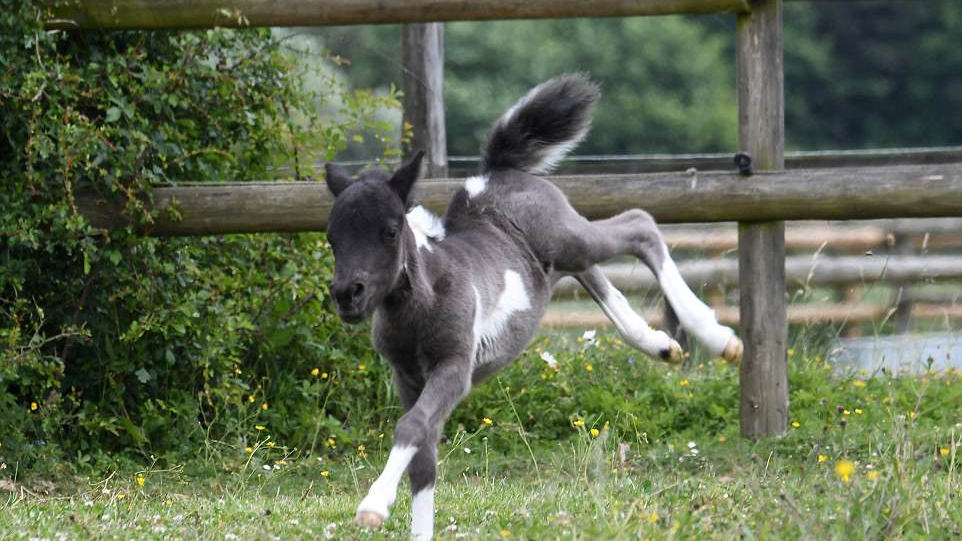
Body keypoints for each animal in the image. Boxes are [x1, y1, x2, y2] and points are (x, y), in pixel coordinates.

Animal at [324, 73, 742, 540]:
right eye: (332, 237)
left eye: (390, 230)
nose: (347, 295)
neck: (422, 300)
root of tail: (496, 171)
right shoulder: (407, 377)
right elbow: (423, 458)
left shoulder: (454, 367)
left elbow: (412, 427)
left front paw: (373, 505)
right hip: (559, 263)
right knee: (601, 276)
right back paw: (661, 345)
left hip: (569, 238)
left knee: (641, 225)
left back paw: (716, 336)